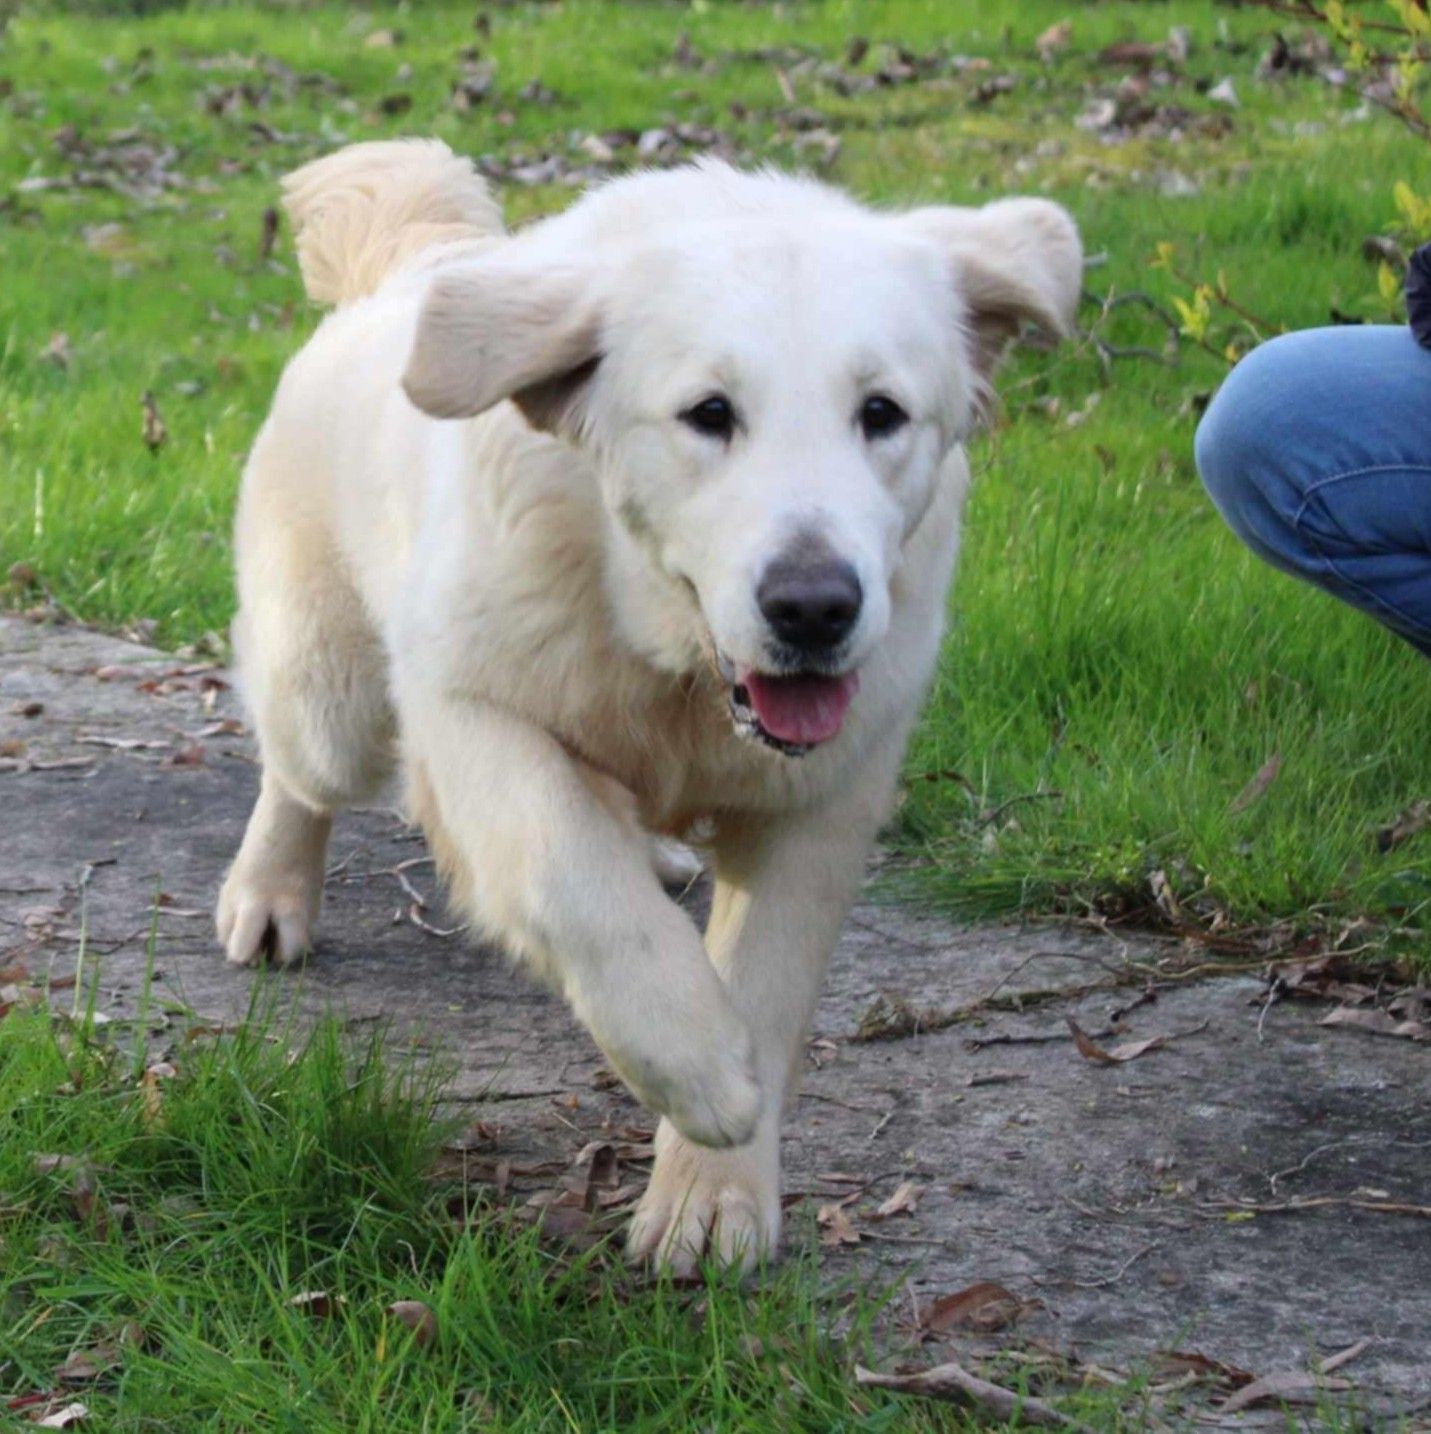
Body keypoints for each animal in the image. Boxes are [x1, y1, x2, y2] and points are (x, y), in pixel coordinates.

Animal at [216, 140, 1080, 1272]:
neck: (675, 665)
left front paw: (715, 1191)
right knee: (299, 772)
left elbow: (764, 977)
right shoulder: (468, 710)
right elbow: (573, 879)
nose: (814, 607)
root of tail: (412, 266)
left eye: (881, 414)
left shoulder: (827, 792)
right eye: (709, 414)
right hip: (336, 700)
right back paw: (269, 892)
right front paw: (700, 1070)